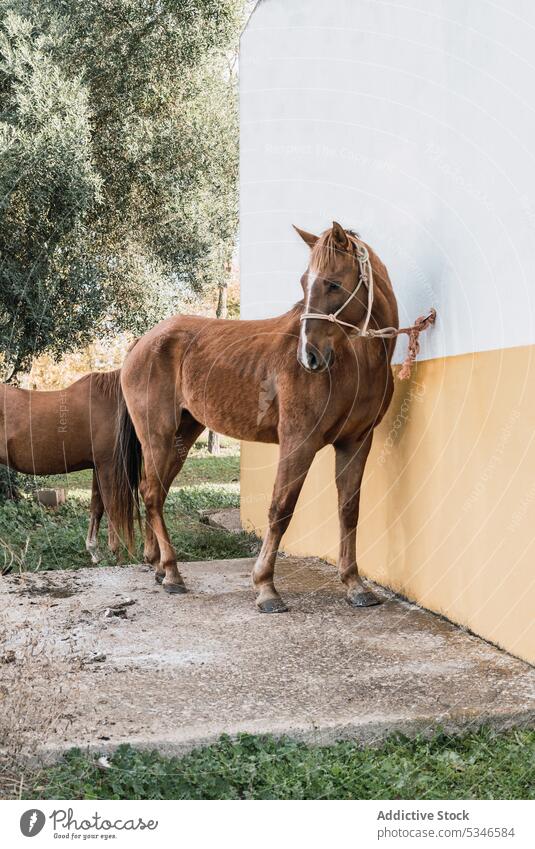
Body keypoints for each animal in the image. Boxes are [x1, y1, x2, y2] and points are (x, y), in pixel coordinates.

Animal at [0, 368, 126, 560]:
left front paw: (94, 551)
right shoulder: (107, 465)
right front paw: (117, 556)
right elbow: (111, 508)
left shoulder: (97, 466)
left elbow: (97, 507)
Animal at [112, 222, 398, 612]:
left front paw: (354, 584)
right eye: (305, 282)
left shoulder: (356, 442)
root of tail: (143, 341)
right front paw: (266, 588)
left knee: (153, 491)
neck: (353, 363)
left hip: (182, 436)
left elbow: (349, 510)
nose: (308, 357)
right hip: (157, 434)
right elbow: (280, 508)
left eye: (333, 284)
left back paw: (157, 565)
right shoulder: (298, 442)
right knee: (153, 493)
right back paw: (172, 573)